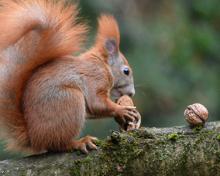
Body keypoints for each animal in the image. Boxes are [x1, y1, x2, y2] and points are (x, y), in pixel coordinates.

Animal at [0, 0, 138, 153]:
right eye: (126, 71)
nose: (131, 93)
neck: (103, 64)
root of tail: (34, 138)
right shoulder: (95, 77)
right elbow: (96, 103)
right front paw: (121, 110)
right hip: (70, 100)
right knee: (58, 144)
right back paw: (79, 142)